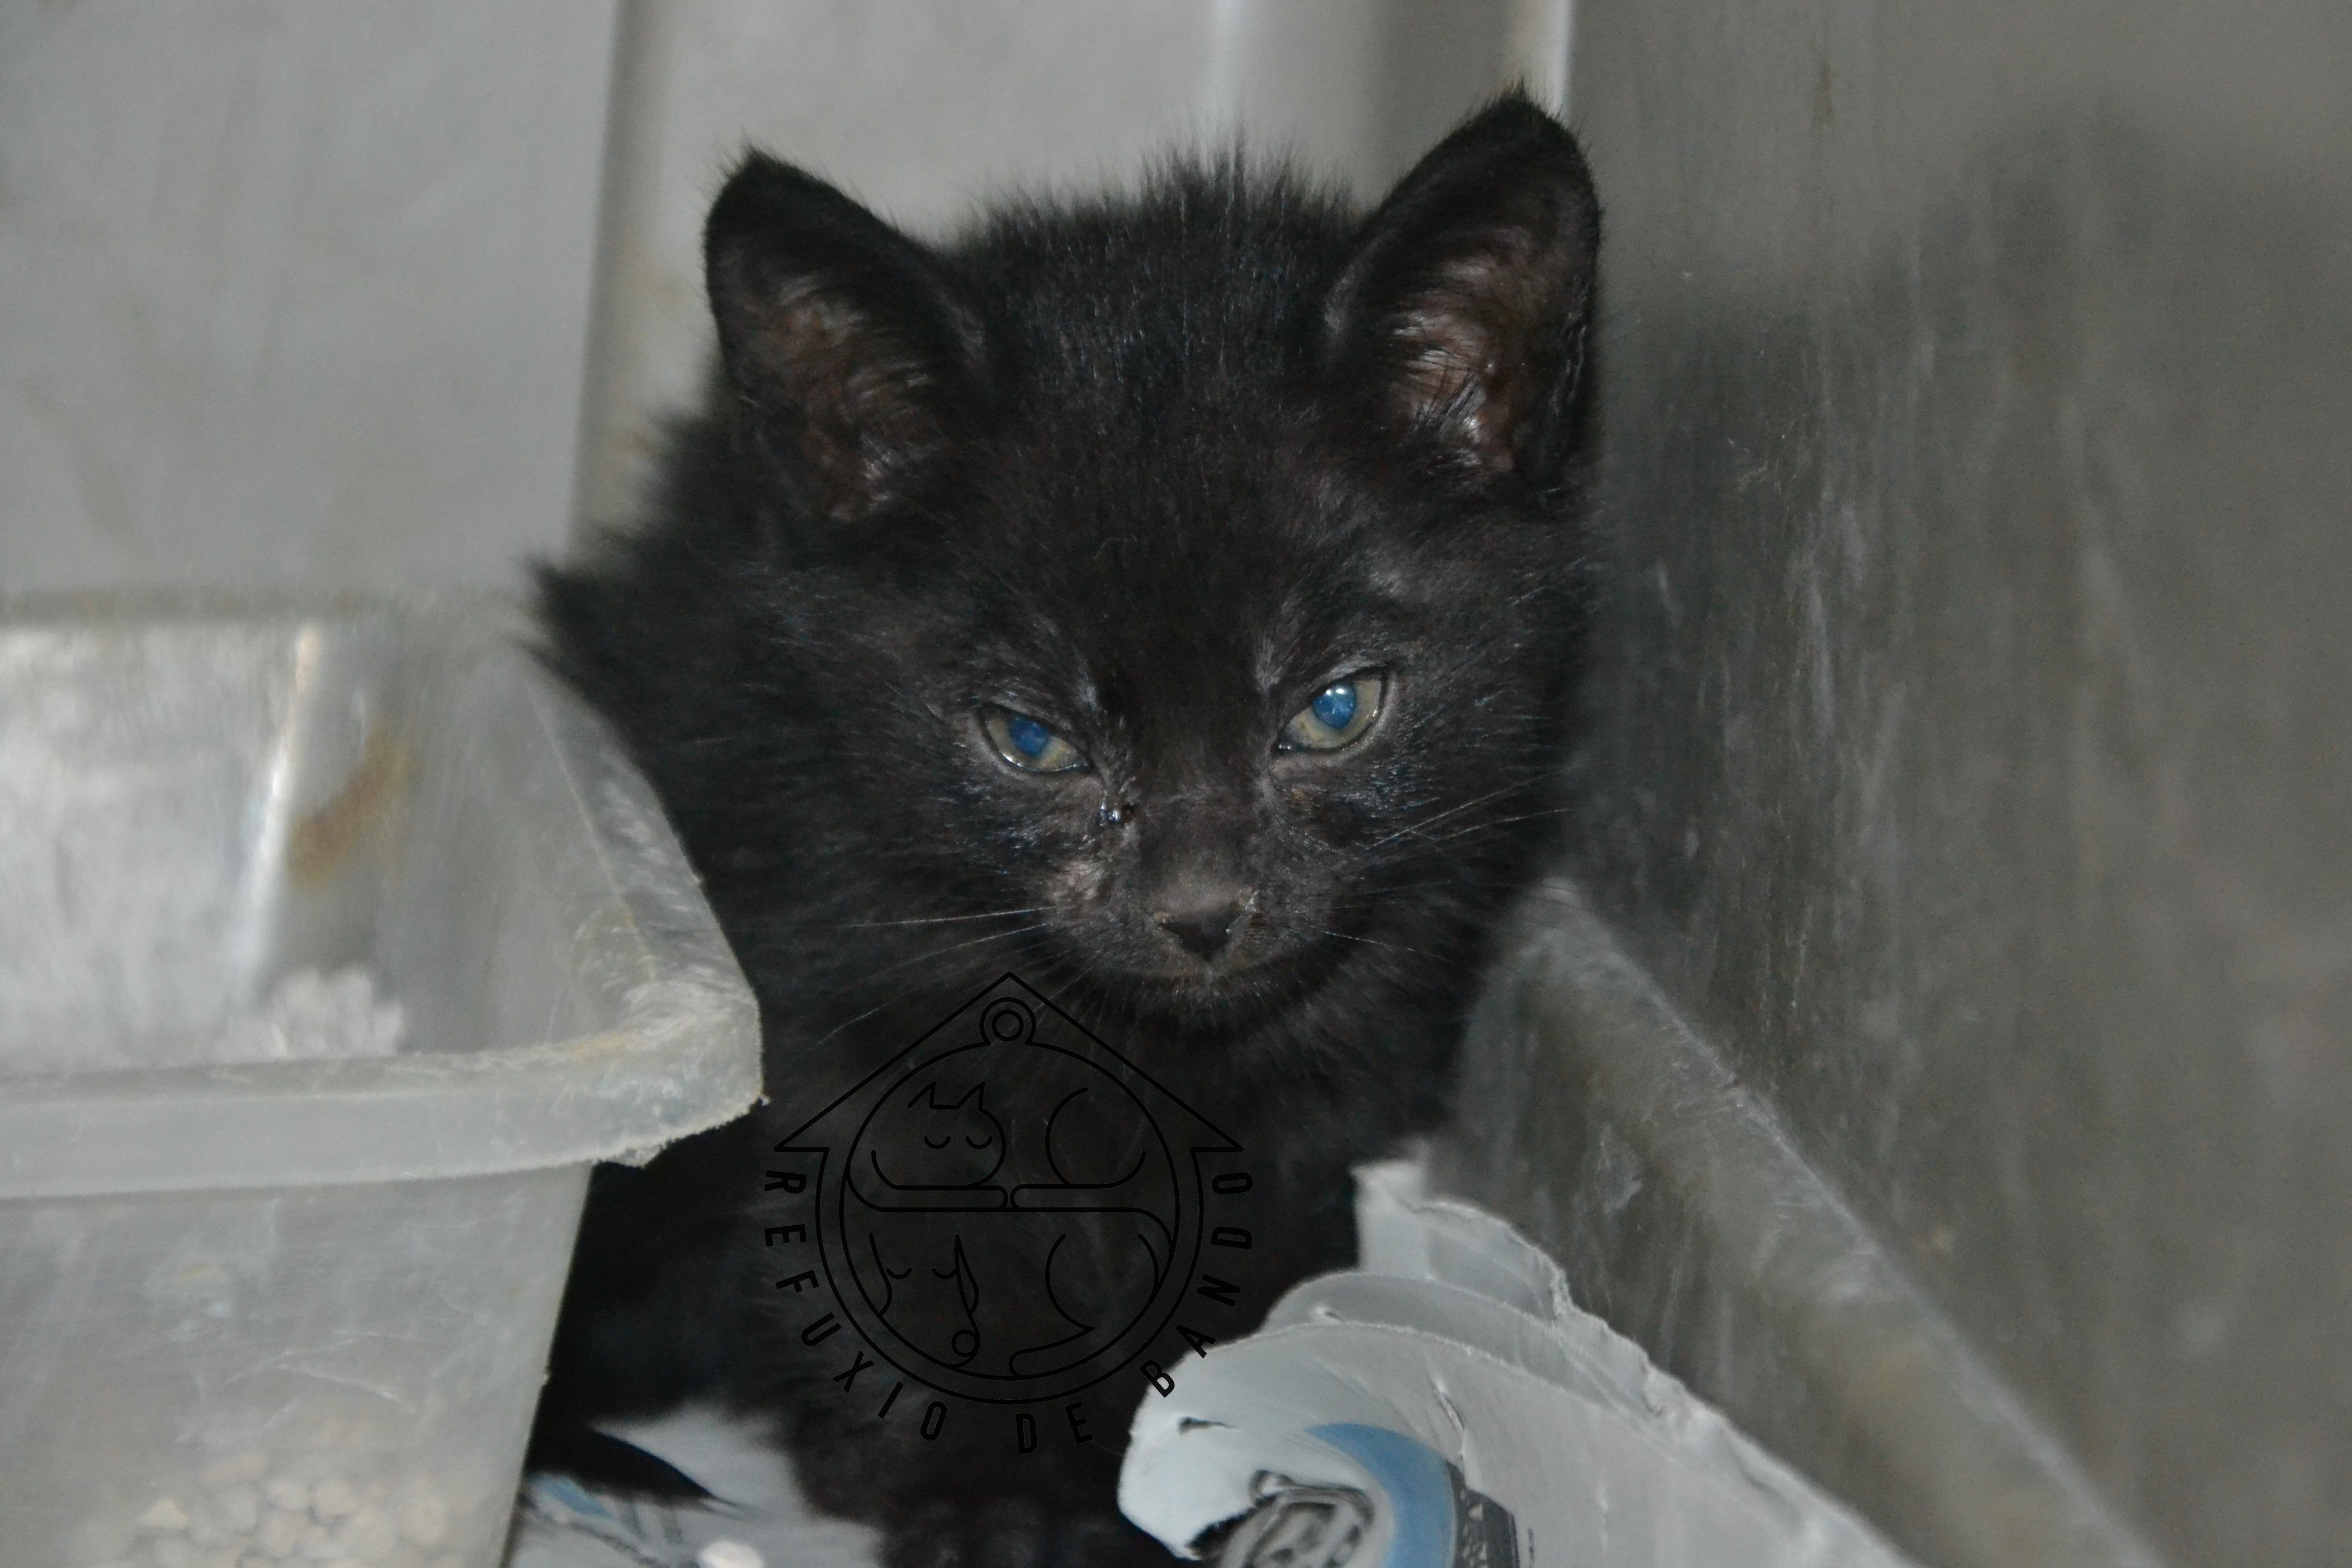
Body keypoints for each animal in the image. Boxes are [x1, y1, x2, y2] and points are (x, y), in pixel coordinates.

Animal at [530, 91, 1600, 1568]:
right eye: (1029, 740)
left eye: (1335, 709)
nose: (1202, 913)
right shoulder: (809, 968)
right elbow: (910, 1220)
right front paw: (1001, 1494)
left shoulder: (1347, 1049)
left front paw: (1187, 1445)